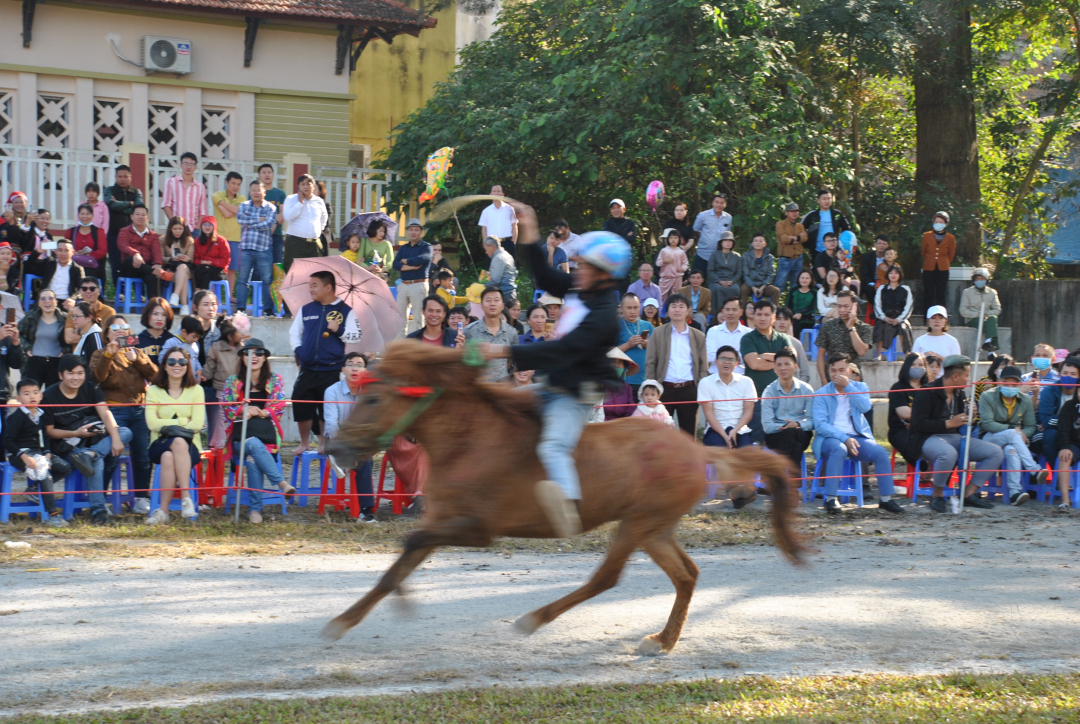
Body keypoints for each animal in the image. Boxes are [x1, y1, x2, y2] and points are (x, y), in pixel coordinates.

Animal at [319, 343, 803, 657]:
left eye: (374, 397)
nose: (335, 448)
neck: (469, 439)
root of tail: (697, 450)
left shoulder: (476, 530)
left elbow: (409, 545)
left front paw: (394, 602)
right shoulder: (442, 521)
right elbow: (398, 564)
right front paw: (343, 621)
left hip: (638, 524)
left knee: (606, 578)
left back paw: (535, 618)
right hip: (654, 527)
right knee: (686, 575)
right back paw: (662, 641)